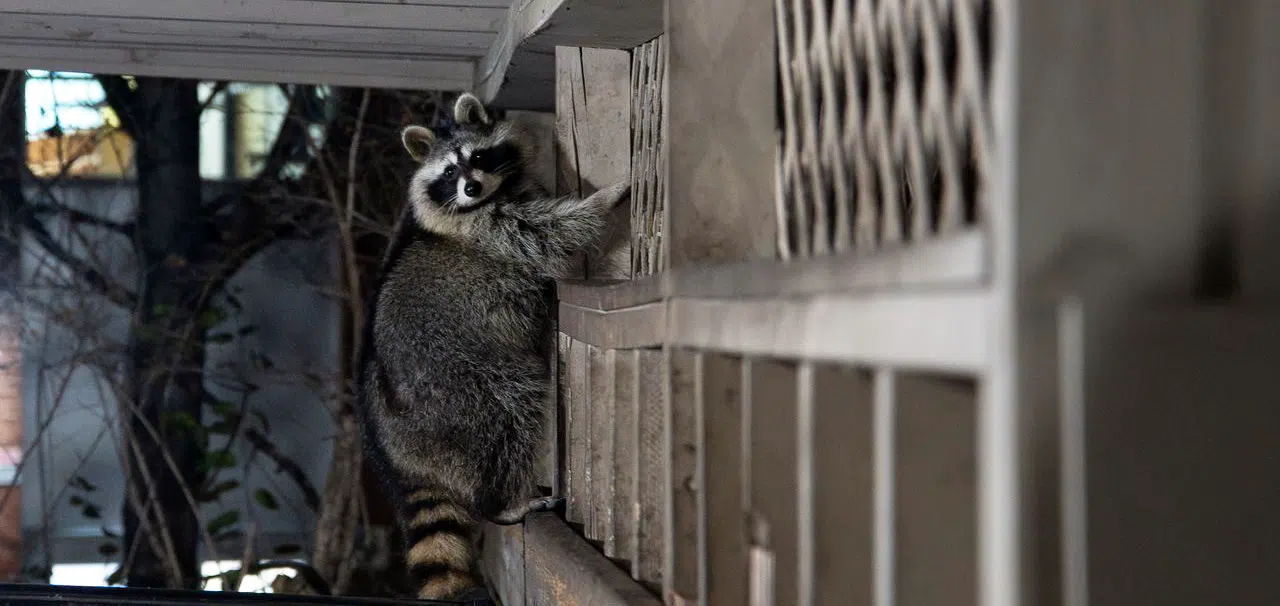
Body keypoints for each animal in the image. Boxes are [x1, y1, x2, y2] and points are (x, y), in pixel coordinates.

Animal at [357, 93, 630, 600]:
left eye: (479, 158)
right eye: (448, 172)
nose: (470, 187)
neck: (491, 197)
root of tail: (396, 454)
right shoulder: (493, 230)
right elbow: (551, 233)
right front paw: (603, 200)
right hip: (460, 389)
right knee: (510, 413)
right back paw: (502, 502)